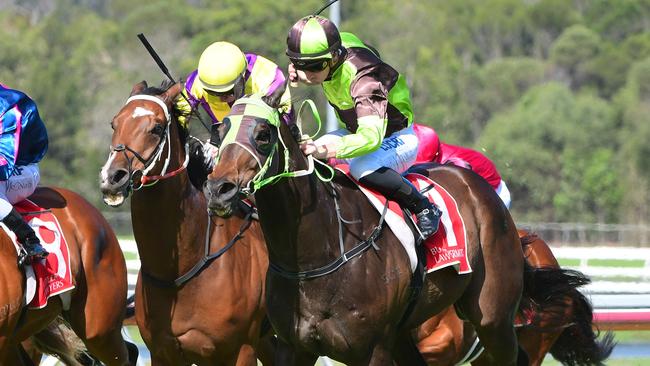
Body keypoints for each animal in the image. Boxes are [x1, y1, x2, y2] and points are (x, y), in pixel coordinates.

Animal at [202, 93, 560, 364]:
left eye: (263, 134)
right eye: (220, 132)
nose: (219, 189)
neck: (316, 253)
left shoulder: (373, 349)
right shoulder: (294, 347)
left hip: (493, 319)